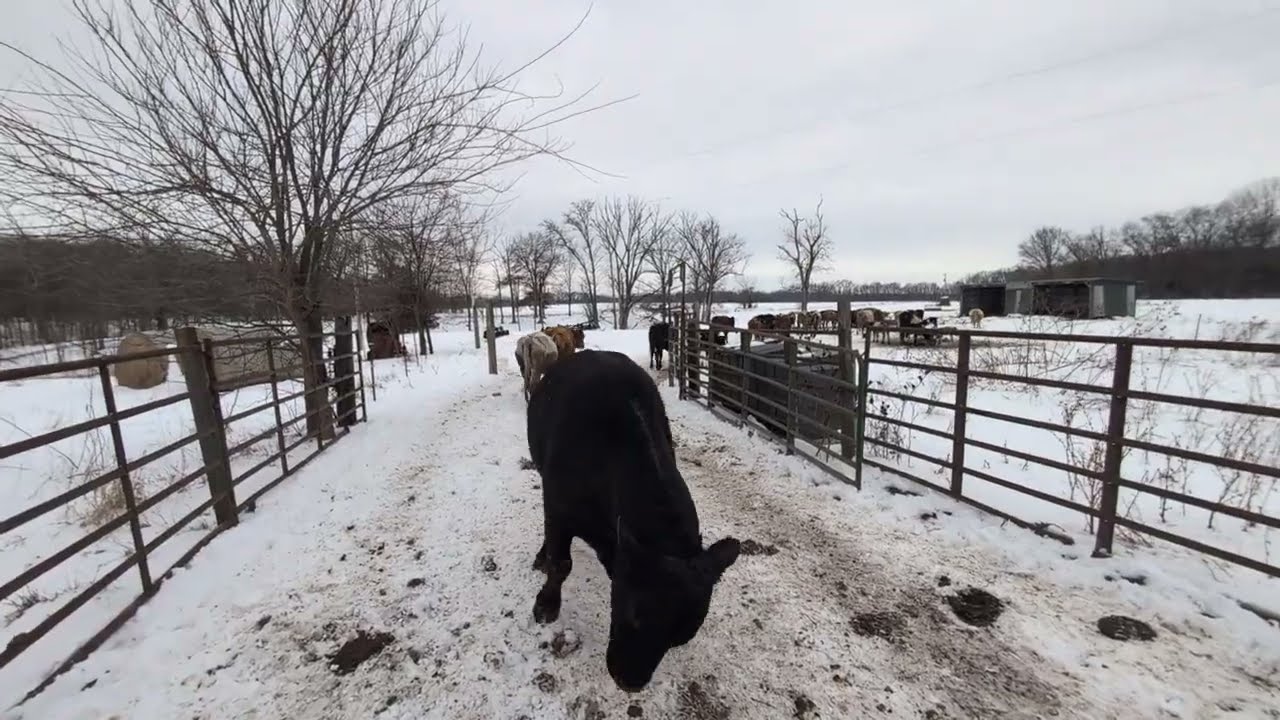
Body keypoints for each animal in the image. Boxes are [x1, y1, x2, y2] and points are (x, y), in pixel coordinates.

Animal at [526, 349, 741, 691]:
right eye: (634, 613)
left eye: (680, 638)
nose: (629, 681)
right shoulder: (557, 504)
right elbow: (561, 564)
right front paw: (546, 605)